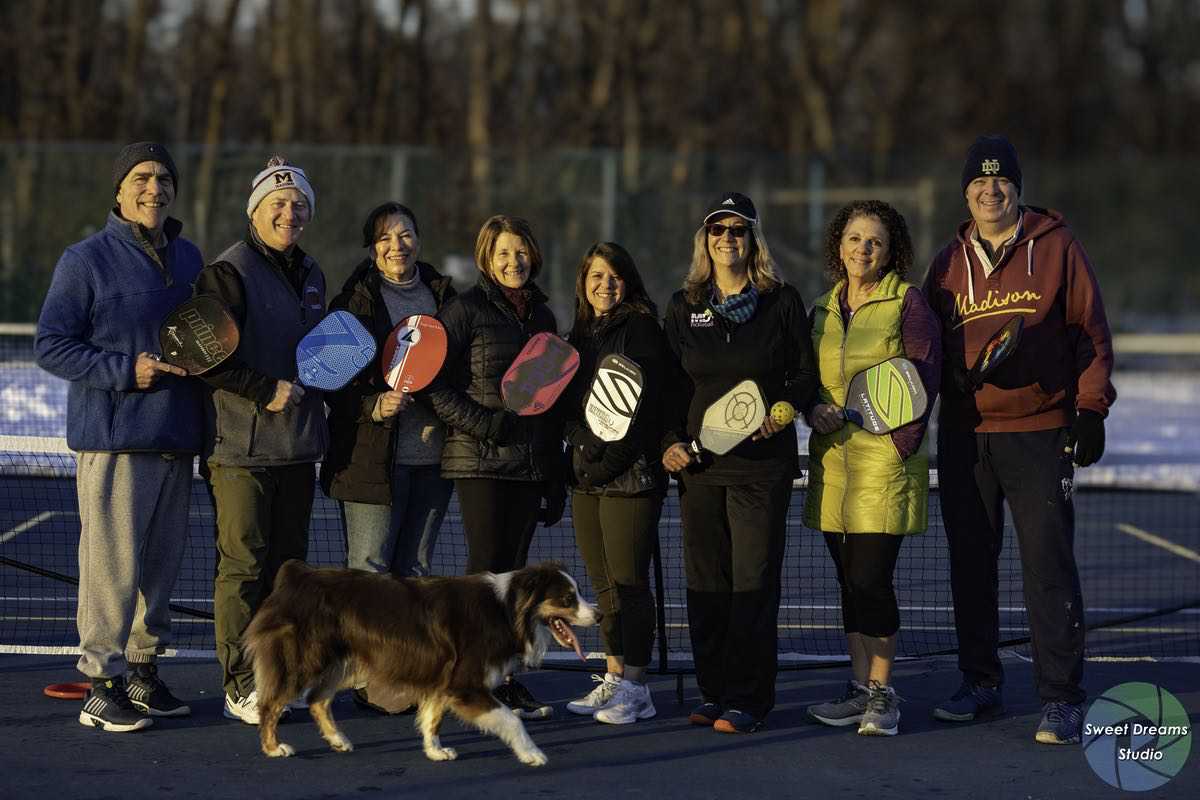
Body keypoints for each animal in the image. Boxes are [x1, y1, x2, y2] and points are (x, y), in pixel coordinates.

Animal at [242, 561, 600, 767]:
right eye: (568, 599)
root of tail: (296, 575)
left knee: (317, 699)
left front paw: (434, 751)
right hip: (304, 659)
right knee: (271, 703)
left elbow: (432, 718)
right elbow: (511, 719)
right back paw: (273, 747)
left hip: (344, 661)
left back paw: (338, 740)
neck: (507, 610)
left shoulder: (444, 681)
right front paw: (532, 753)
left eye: (578, 593)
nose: (599, 616)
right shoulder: (465, 683)